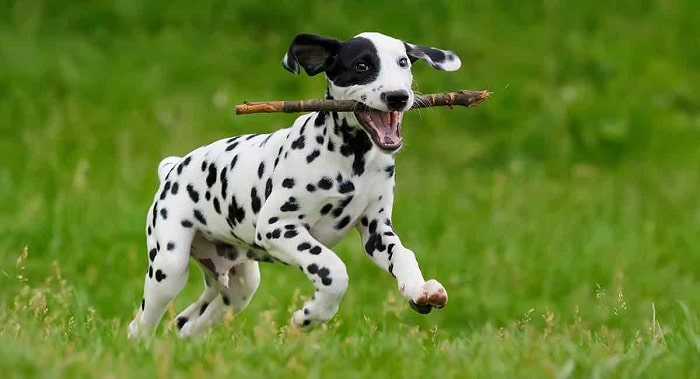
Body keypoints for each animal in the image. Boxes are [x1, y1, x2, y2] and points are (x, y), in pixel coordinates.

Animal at [129, 31, 462, 338]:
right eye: (362, 65)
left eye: (403, 62)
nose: (398, 96)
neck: (352, 159)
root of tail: (172, 169)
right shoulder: (278, 227)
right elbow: (333, 270)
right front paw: (311, 316)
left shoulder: (376, 231)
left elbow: (403, 254)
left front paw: (420, 289)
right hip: (169, 266)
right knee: (140, 325)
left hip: (238, 287)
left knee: (187, 323)